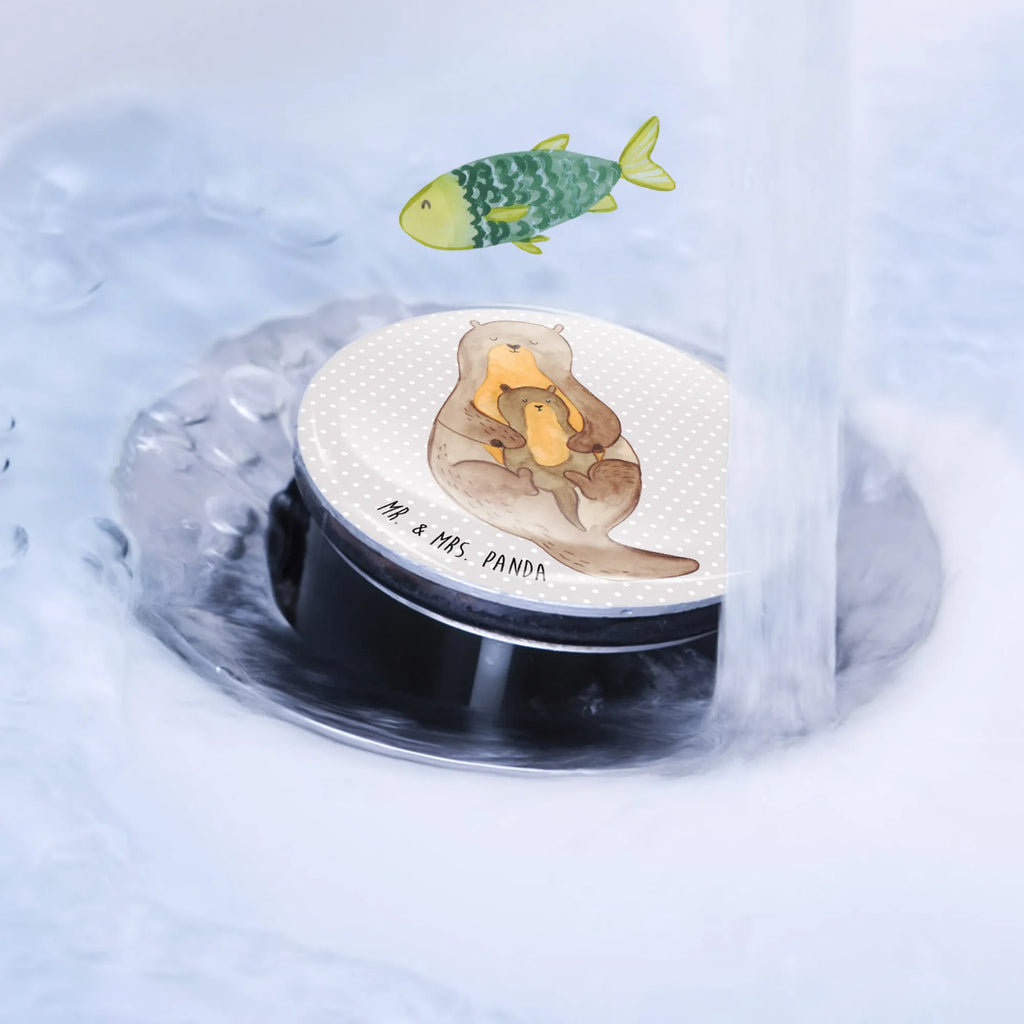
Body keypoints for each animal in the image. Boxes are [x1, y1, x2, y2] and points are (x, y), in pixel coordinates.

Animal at [427, 319, 699, 580]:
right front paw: (509, 437)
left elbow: (605, 417)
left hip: (624, 469)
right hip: (469, 477)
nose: (513, 345)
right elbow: (458, 416)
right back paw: (529, 481)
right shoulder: (460, 398)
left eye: (535, 341)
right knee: (497, 480)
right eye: (493, 337)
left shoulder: (580, 394)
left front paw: (581, 442)